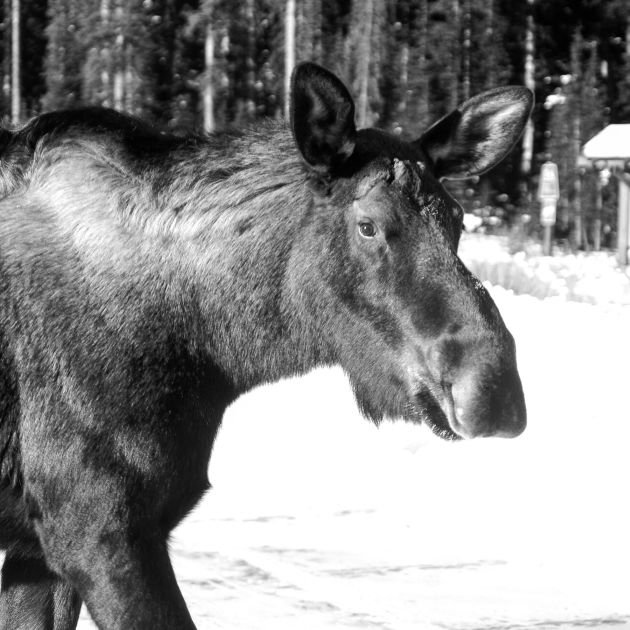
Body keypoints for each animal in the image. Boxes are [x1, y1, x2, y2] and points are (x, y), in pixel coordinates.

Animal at [0, 65, 532, 630]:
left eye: (456, 220)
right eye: (368, 225)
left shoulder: (44, 550)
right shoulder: (97, 526)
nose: (495, 390)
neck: (214, 349)